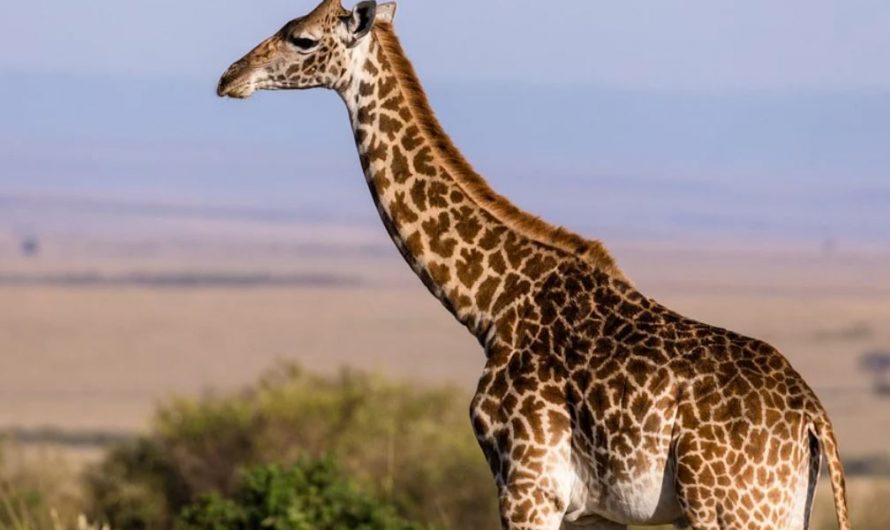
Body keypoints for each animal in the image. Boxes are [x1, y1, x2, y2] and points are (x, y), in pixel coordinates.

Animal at [217, 2, 851, 529]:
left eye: (301, 38)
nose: (229, 78)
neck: (490, 306)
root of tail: (814, 418)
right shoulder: (590, 510)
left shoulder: (527, 486)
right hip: (779, 511)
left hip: (729, 509)